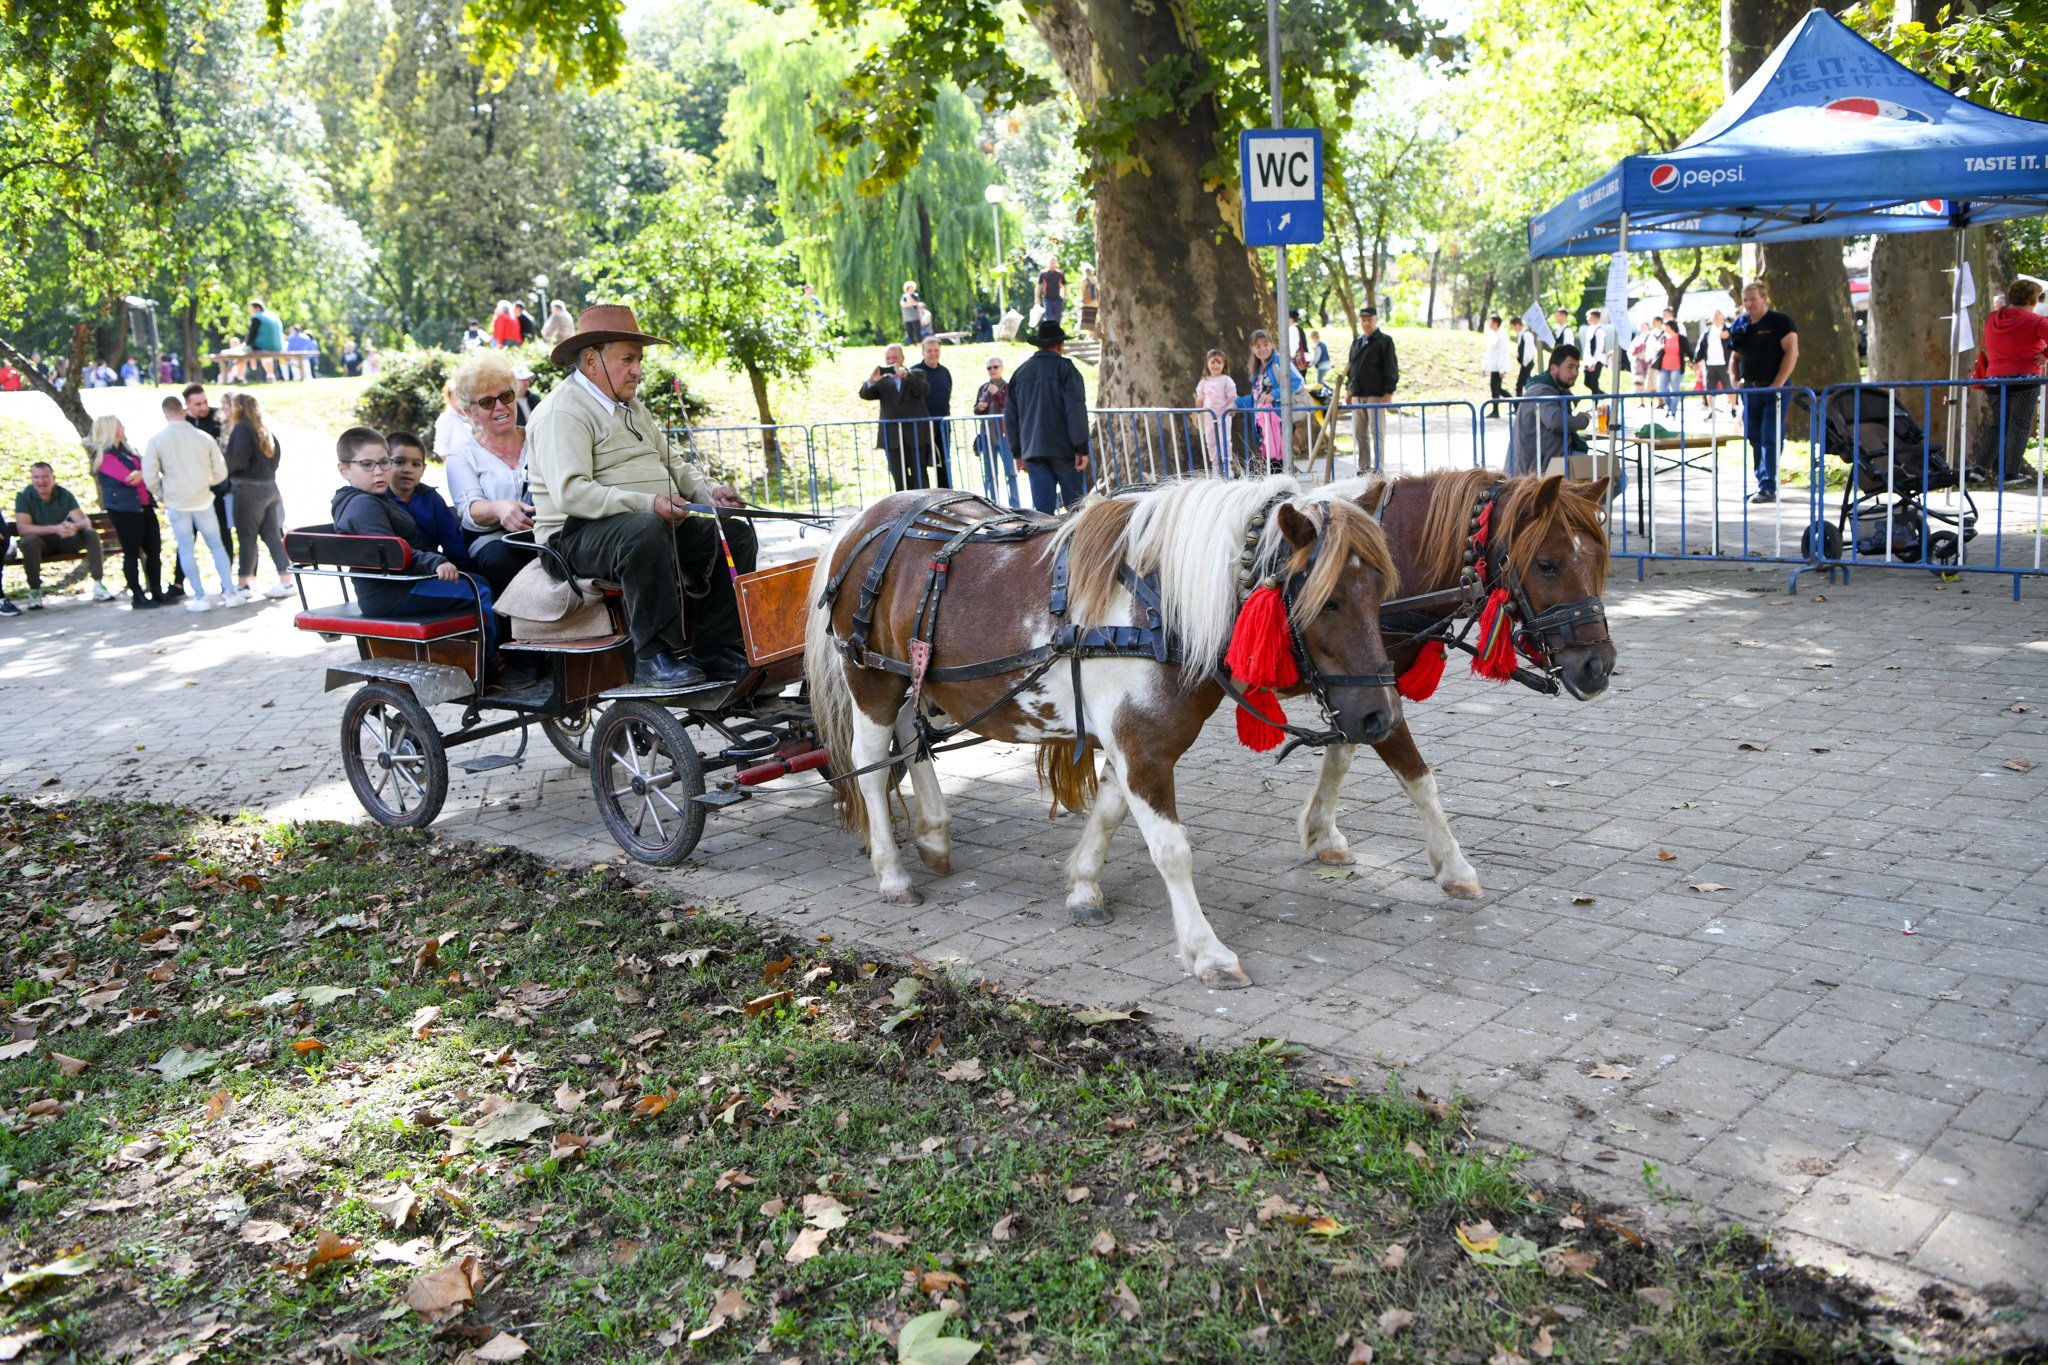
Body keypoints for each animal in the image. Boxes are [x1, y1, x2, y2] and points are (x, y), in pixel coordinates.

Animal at [802, 474, 1409, 986]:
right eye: (1327, 602)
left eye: (1380, 591)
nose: (1381, 718)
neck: (1158, 613)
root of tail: (864, 519)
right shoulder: (1142, 749)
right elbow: (1171, 849)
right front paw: (1206, 951)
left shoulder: (1133, 743)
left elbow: (1111, 811)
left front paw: (1084, 886)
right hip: (870, 680)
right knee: (872, 767)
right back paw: (893, 873)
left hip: (912, 677)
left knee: (912, 739)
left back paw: (932, 834)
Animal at [1294, 470, 1613, 896]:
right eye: (1547, 565)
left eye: (1598, 560)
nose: (1599, 665)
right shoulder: (1370, 689)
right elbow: (1417, 776)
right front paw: (1453, 866)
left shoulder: (1359, 693)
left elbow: (1342, 753)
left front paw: (1323, 833)